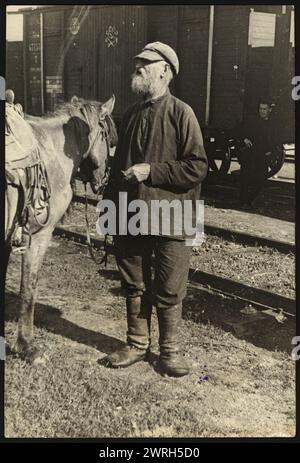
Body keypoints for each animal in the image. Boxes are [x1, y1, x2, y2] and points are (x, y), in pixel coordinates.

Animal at [4, 95, 117, 362]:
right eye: (110, 139)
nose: (105, 180)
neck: (50, 150)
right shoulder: (38, 234)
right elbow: (29, 287)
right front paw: (26, 346)